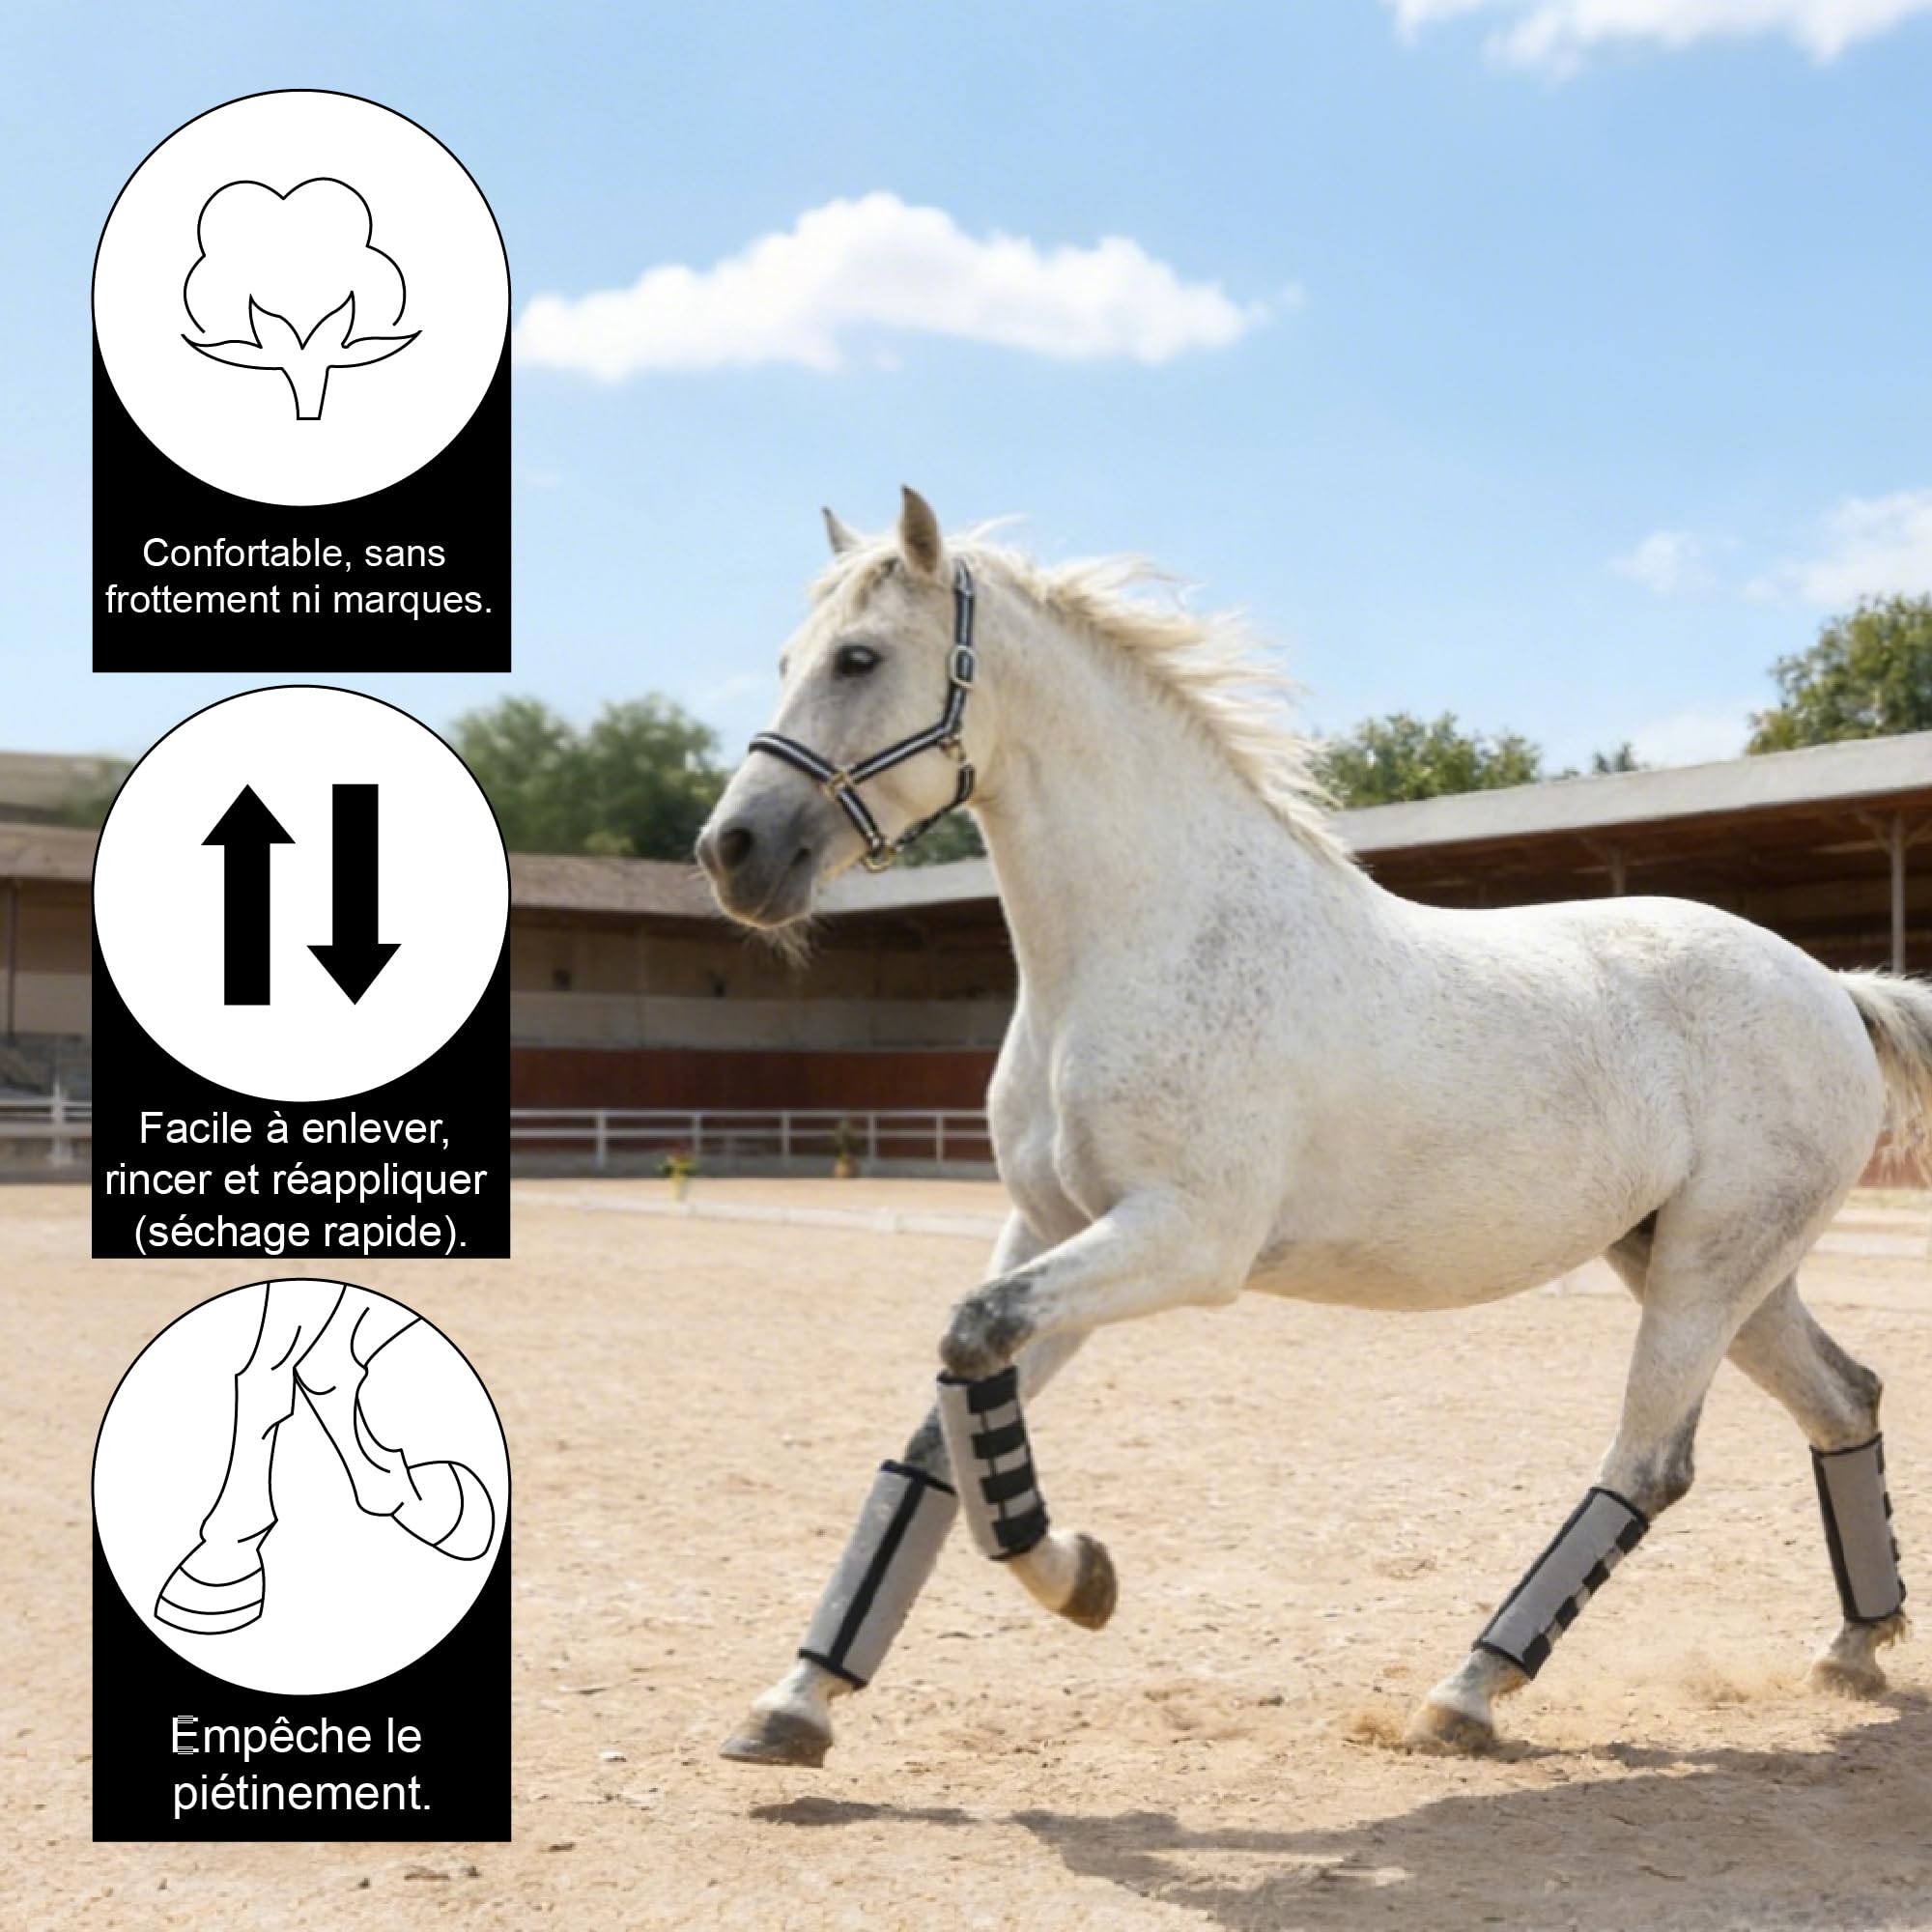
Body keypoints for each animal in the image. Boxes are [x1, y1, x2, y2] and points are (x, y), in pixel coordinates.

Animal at [695, 488, 1929, 1768]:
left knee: (1648, 1460)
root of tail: (1829, 986)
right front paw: (794, 1701)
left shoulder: (1182, 1241)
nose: (733, 854)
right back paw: (1851, 1646)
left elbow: (971, 1351)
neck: (1144, 938)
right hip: (1701, 1265)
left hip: (1704, 1270)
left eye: (857, 657)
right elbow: (944, 1423)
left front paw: (1079, 1577)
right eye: (786, 659)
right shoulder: (1047, 1228)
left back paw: (1465, 1690)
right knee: (1842, 1397)